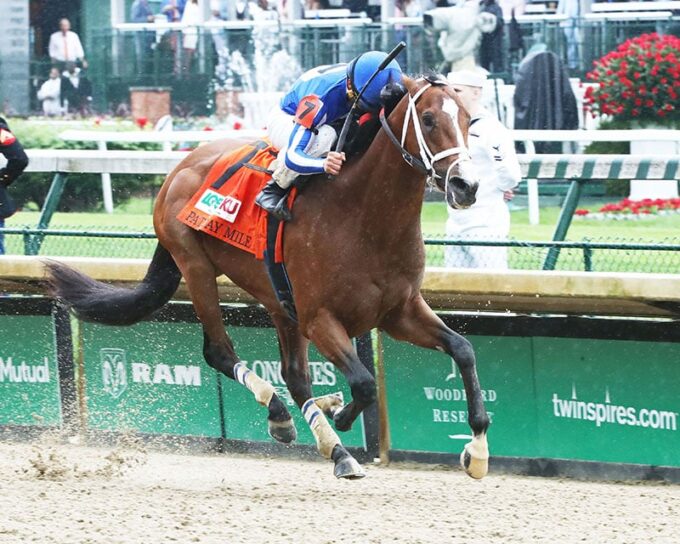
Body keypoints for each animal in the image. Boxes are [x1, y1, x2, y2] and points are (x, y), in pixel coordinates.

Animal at [47, 74, 492, 478]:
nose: (466, 185)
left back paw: (329, 438)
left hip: (279, 301)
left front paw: (477, 450)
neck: (363, 216)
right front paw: (344, 418)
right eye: (429, 119)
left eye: (468, 119)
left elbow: (463, 349)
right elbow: (365, 383)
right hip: (195, 266)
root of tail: (179, 169)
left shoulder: (398, 310)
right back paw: (289, 416)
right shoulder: (319, 318)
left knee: (294, 376)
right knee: (220, 352)